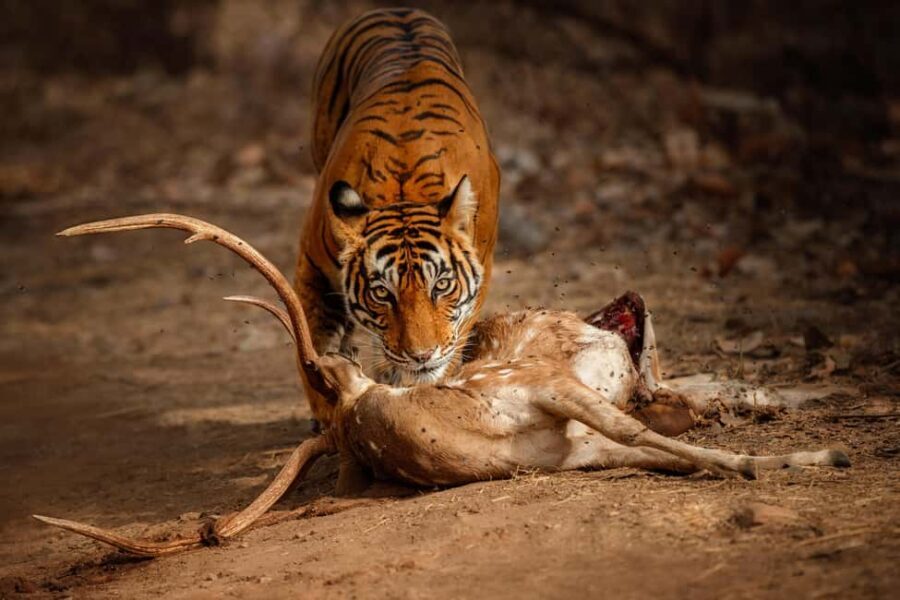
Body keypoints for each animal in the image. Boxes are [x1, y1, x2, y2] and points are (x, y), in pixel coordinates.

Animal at [294, 7, 500, 424]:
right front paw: (330, 402)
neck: (405, 190)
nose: (421, 356)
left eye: (442, 285)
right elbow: (314, 337)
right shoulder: (313, 261)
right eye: (380, 293)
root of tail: (396, 9)